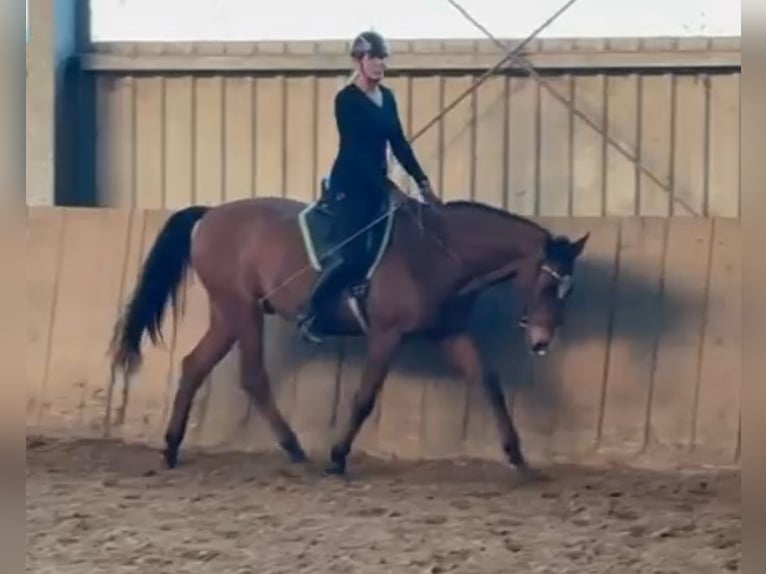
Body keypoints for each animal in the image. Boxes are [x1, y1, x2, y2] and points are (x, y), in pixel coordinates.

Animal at [109, 183, 589, 479]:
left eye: (569, 287)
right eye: (549, 283)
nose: (542, 341)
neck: (437, 253)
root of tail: (209, 217)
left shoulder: (449, 334)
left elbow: (489, 382)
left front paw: (517, 457)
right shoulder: (386, 335)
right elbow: (364, 397)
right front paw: (338, 458)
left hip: (228, 314)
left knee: (194, 366)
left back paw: (171, 449)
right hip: (241, 310)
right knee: (252, 377)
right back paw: (295, 449)